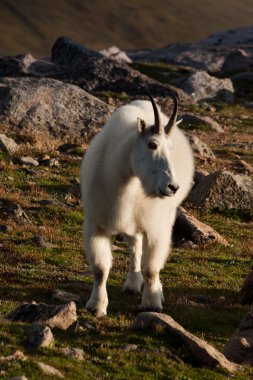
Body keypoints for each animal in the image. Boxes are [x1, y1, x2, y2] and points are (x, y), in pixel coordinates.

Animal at [81, 92, 194, 318]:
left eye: (171, 148)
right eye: (152, 144)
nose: (172, 187)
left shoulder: (156, 228)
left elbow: (151, 269)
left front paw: (152, 303)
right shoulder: (95, 224)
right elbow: (100, 269)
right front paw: (96, 306)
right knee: (135, 249)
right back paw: (133, 284)